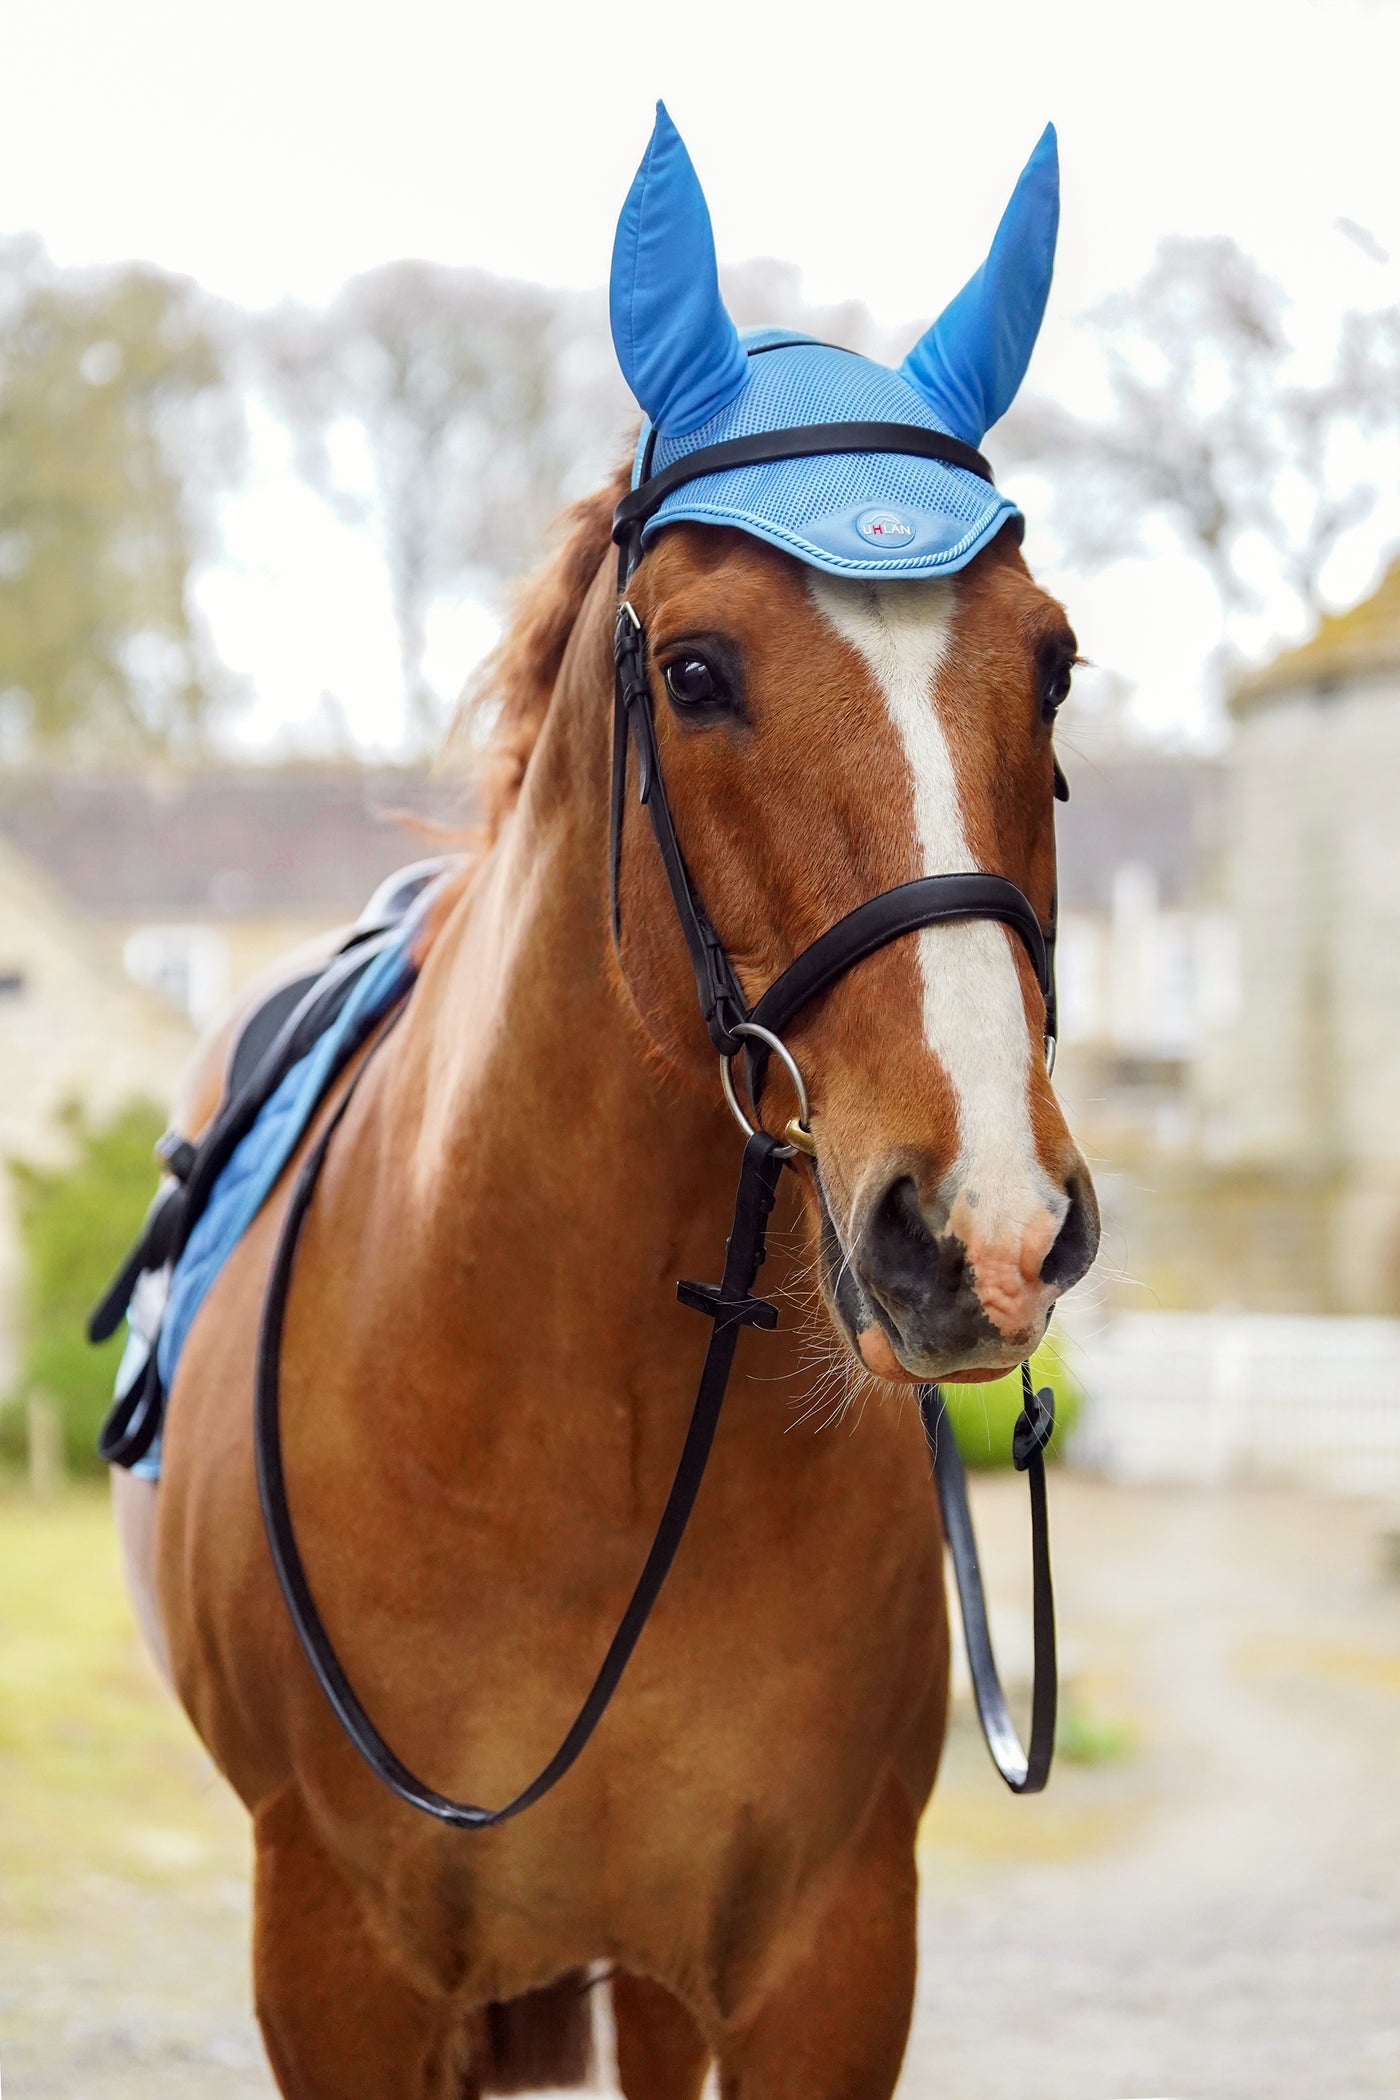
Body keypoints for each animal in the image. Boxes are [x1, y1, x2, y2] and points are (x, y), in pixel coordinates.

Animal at [112, 102, 1091, 2100]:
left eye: (1051, 662)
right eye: (697, 671)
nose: (988, 1231)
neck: (588, 1422)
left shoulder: (828, 1957)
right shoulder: (338, 1966)